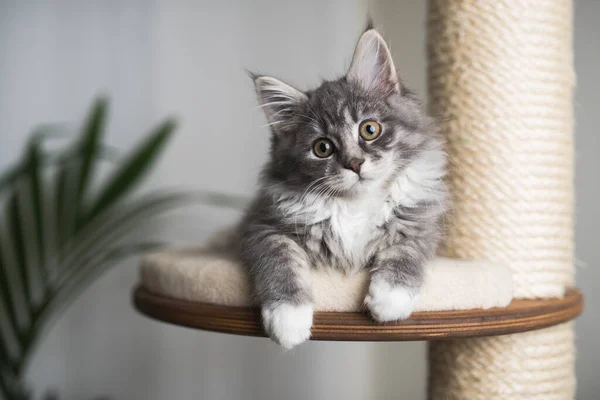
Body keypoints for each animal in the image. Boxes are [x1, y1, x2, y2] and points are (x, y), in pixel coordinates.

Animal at [239, 26, 446, 348]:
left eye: (369, 129)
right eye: (322, 148)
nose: (355, 163)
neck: (354, 205)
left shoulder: (420, 222)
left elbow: (406, 252)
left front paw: (390, 299)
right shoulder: (261, 226)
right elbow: (280, 261)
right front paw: (288, 319)